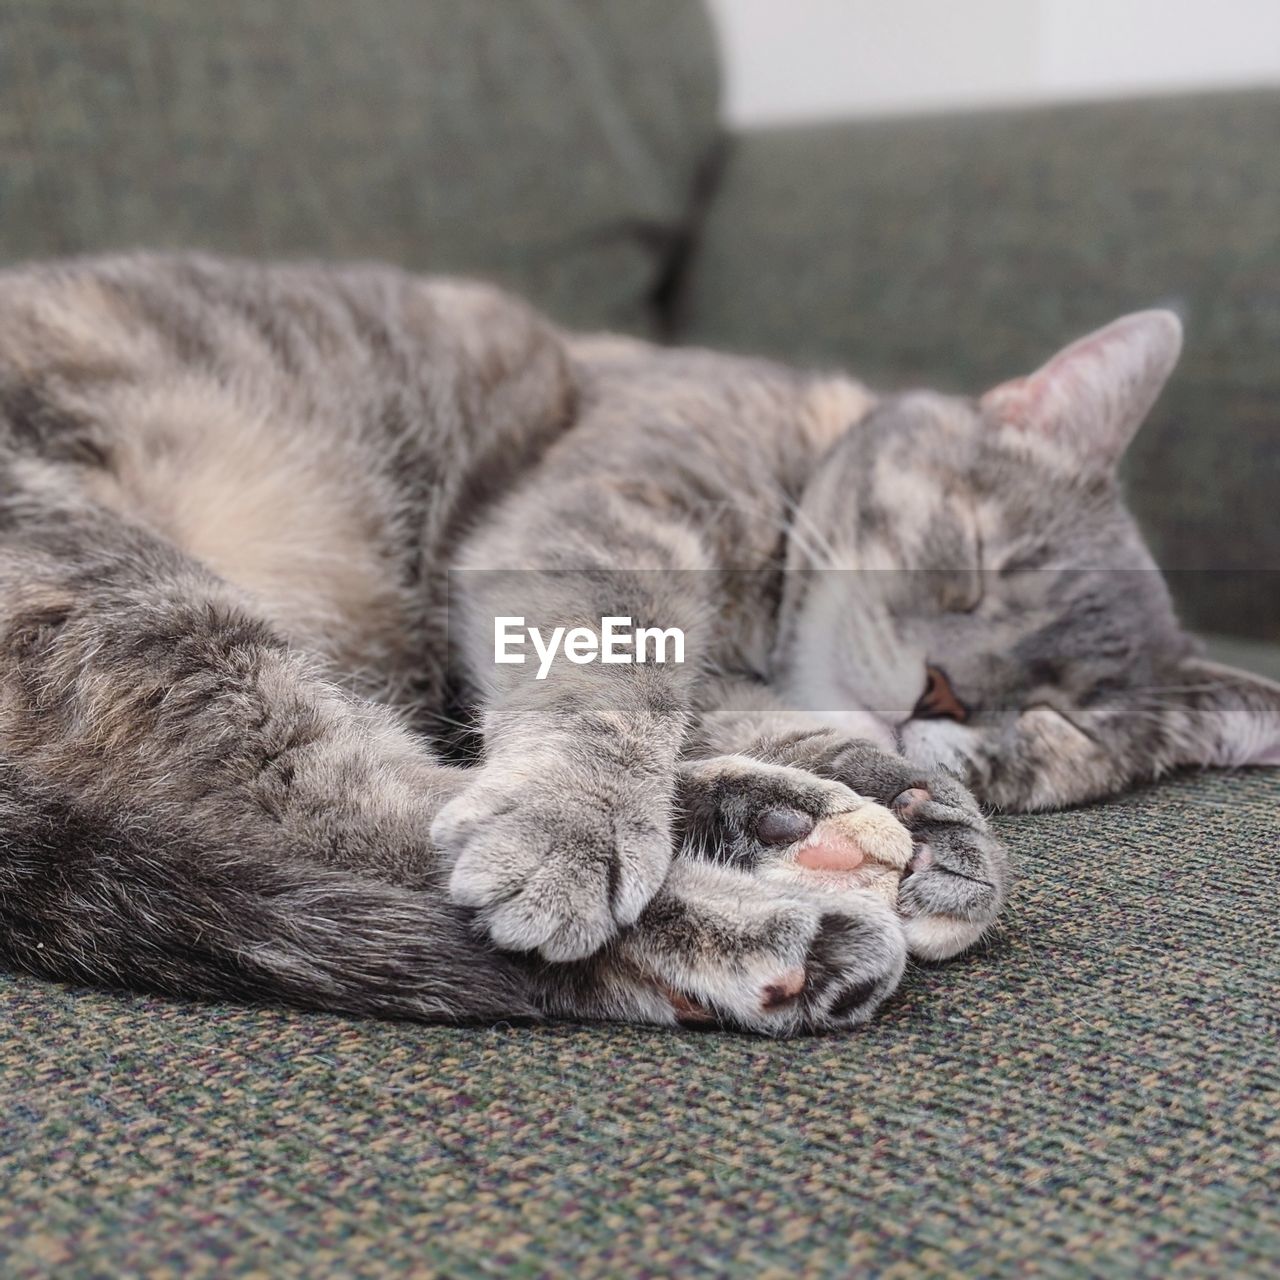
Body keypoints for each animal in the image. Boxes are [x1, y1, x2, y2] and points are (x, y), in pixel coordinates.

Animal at [0, 254, 1274, 1034]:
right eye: (978, 554)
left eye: (1054, 721)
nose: (944, 693)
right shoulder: (601, 518)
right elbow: (612, 676)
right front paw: (576, 820)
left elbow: (748, 711)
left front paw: (932, 820)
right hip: (136, 599)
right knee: (346, 811)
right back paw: (770, 917)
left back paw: (789, 825)